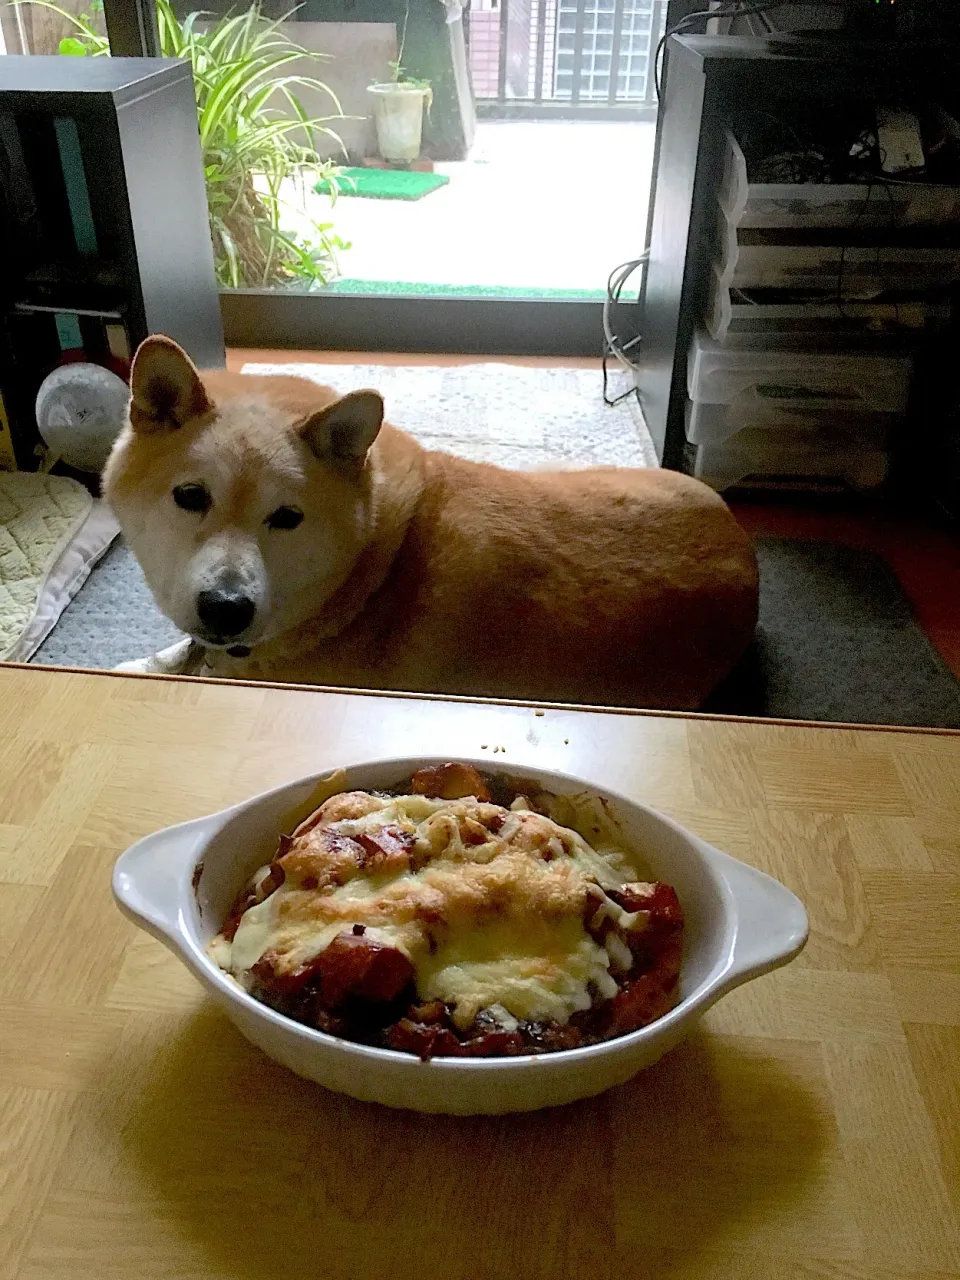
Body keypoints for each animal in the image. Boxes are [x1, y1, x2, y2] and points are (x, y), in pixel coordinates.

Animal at [99, 335, 757, 711]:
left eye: (286, 518)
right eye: (190, 496)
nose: (226, 608)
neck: (371, 572)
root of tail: (746, 556)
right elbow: (172, 656)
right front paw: (148, 664)